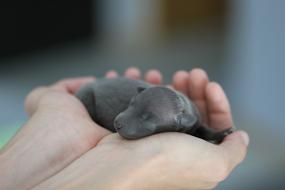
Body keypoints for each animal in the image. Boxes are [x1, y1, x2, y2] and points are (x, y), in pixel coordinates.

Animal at [75, 76, 231, 143]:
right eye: (131, 103)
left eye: (147, 117)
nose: (117, 123)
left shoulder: (196, 120)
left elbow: (204, 128)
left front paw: (222, 133)